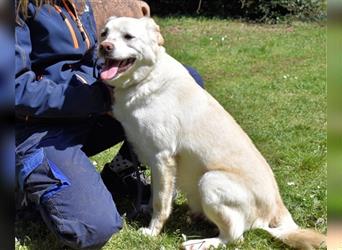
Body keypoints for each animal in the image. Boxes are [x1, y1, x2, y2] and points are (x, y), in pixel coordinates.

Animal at [97, 16, 326, 249]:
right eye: (104, 33)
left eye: (128, 36)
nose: (104, 47)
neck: (145, 79)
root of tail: (278, 207)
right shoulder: (158, 162)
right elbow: (157, 195)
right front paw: (146, 210)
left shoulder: (162, 158)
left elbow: (160, 201)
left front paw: (153, 231)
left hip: (210, 180)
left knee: (234, 236)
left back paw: (201, 242)